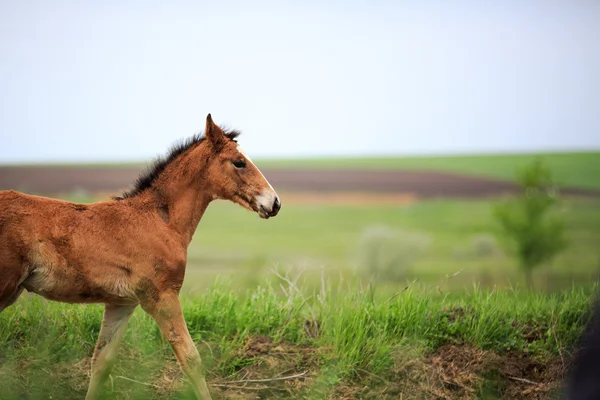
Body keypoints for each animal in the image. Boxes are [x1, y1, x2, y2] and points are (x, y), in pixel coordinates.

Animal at [0, 113, 282, 400]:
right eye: (239, 162)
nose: (274, 203)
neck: (159, 220)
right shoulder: (162, 296)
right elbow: (191, 359)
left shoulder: (122, 303)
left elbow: (101, 362)